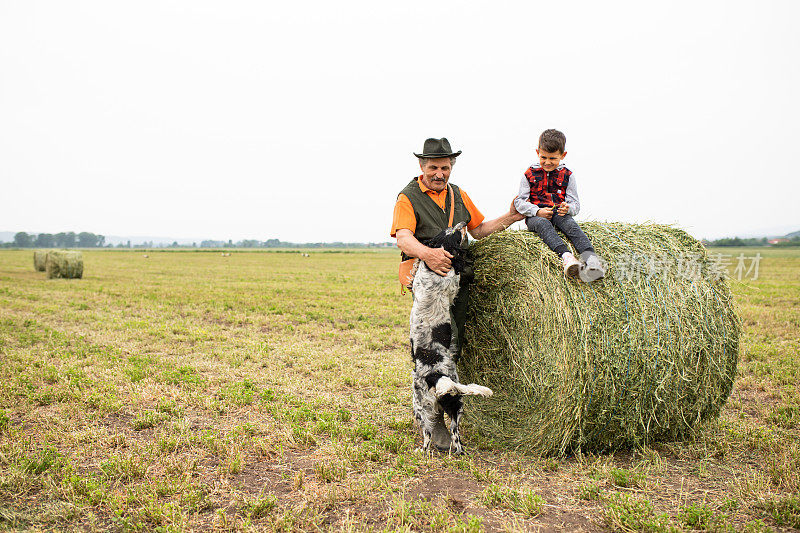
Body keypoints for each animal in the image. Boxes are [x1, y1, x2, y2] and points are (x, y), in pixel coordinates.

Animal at [412, 220, 494, 454]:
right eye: (454, 232)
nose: (464, 222)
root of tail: (439, 376)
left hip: (419, 405)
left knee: (427, 435)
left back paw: (422, 451)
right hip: (456, 405)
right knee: (456, 438)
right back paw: (457, 452)